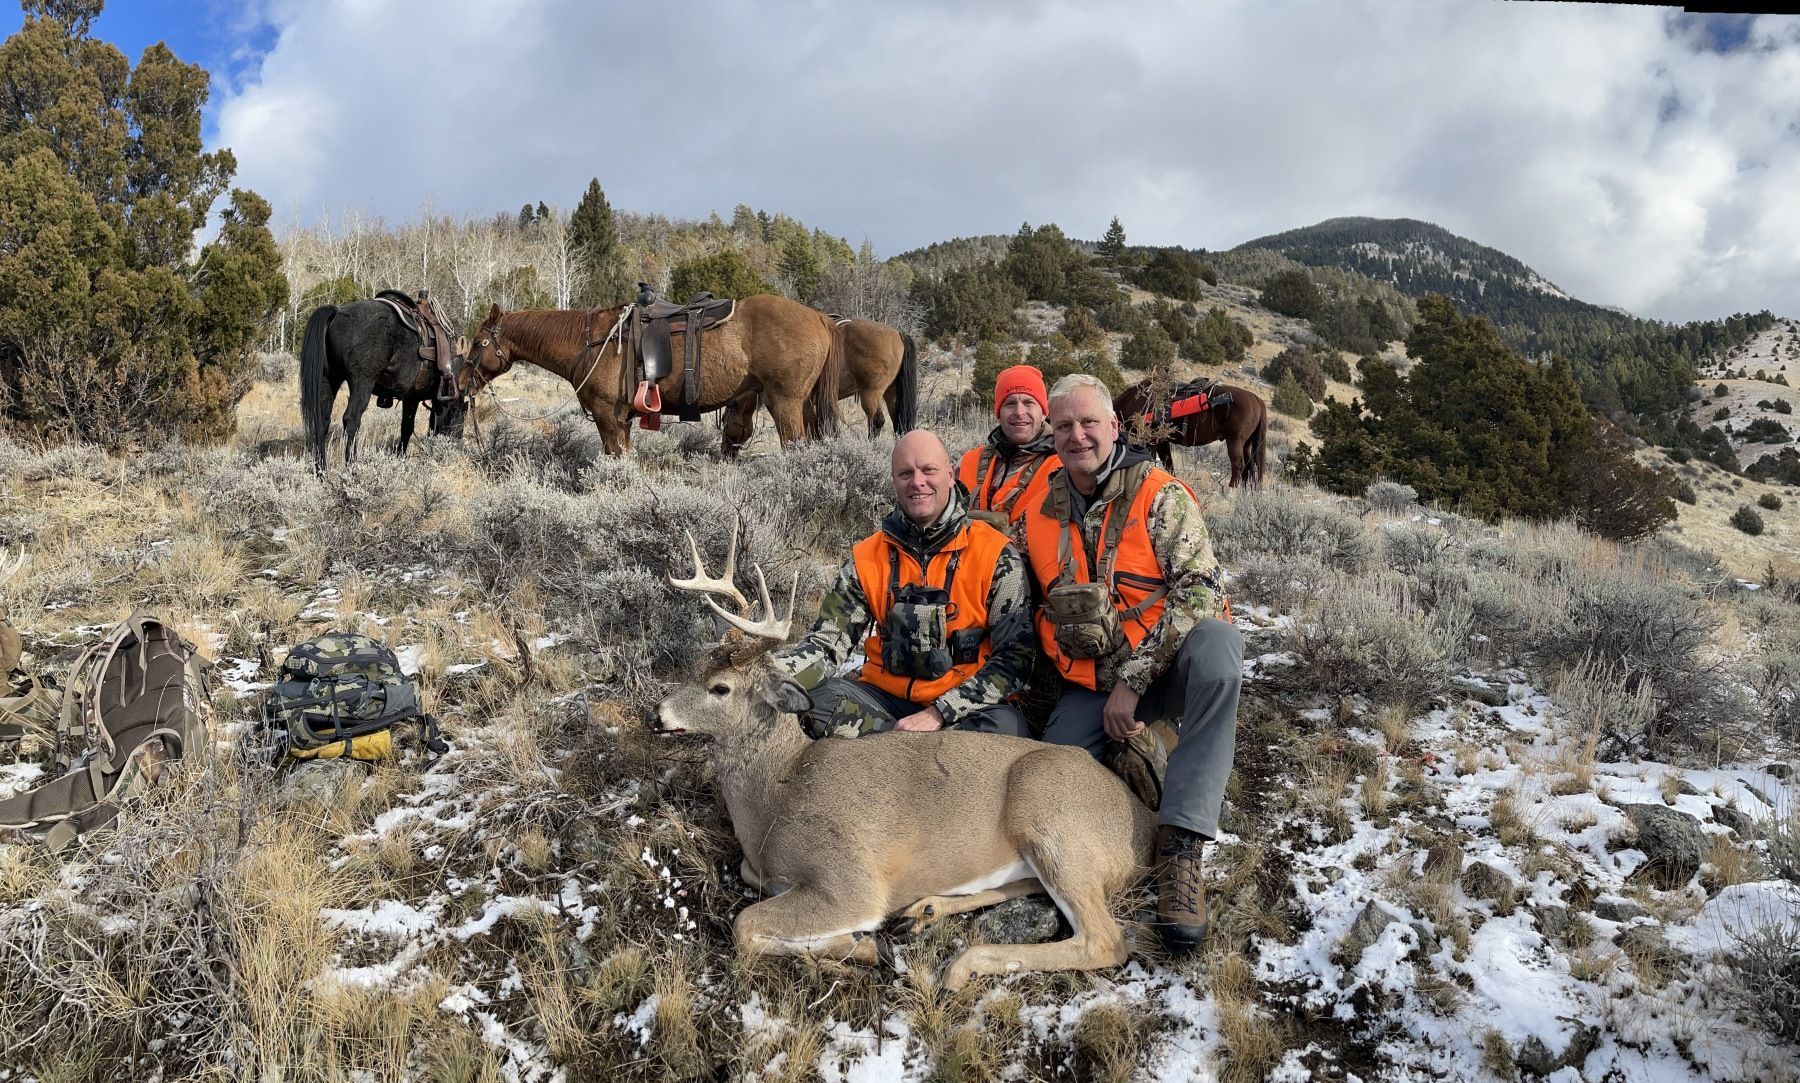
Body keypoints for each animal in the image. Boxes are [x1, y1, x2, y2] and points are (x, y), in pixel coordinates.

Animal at [650, 527, 1156, 990]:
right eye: (694, 668)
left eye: (720, 688)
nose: (656, 714)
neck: (777, 795)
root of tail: (1142, 824)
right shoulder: (760, 868)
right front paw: (868, 945)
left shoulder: (849, 879)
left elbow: (745, 925)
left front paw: (866, 947)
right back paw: (923, 910)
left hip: (1053, 817)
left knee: (1104, 939)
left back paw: (962, 964)